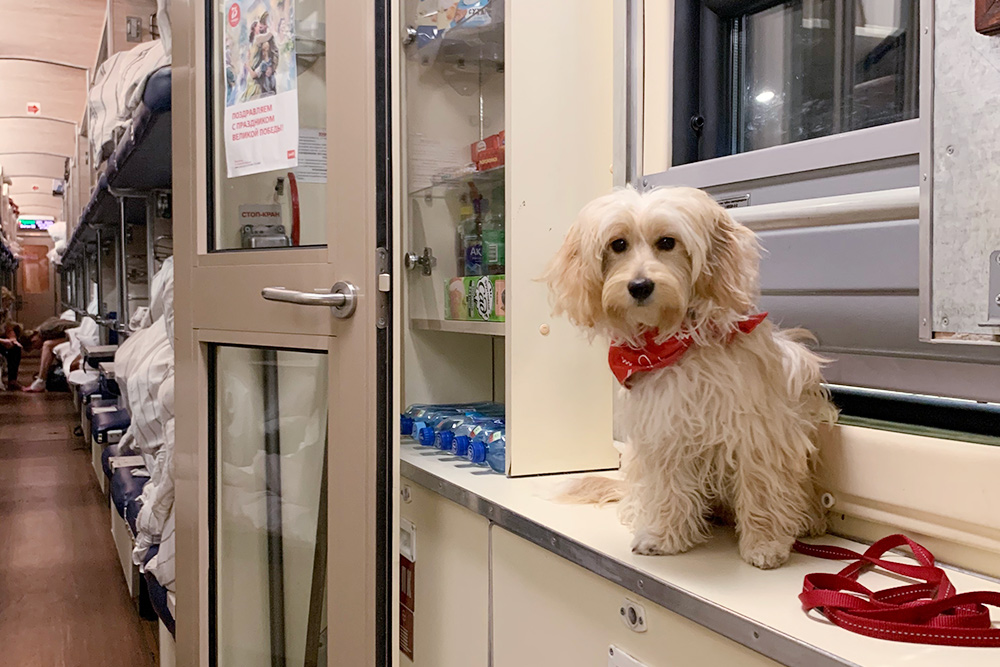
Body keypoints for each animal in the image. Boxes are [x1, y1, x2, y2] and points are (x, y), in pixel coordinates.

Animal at [548, 187, 836, 568]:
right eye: (618, 244)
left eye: (667, 242)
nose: (640, 286)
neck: (677, 343)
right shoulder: (665, 431)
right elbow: (669, 486)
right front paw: (664, 536)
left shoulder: (759, 430)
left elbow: (761, 485)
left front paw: (765, 542)